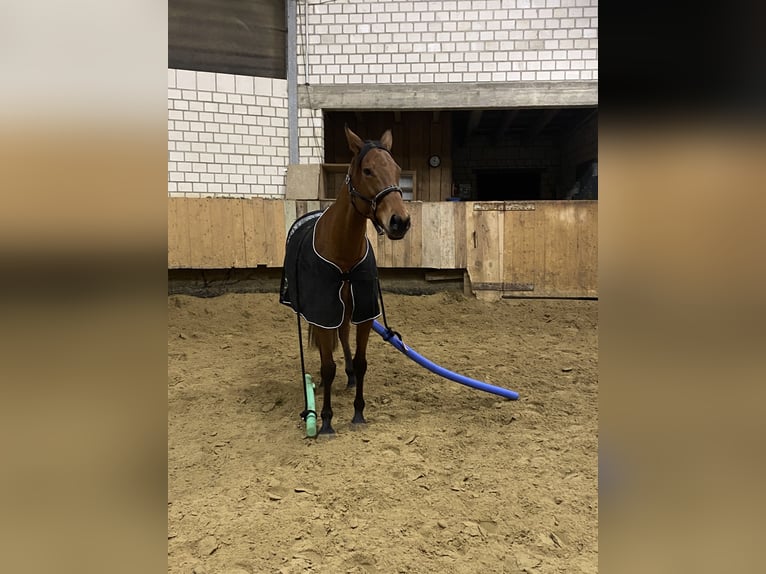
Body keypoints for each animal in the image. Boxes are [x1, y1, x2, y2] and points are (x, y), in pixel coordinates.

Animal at [308, 127, 414, 436]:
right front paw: (326, 420)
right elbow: (327, 365)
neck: (343, 254)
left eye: (397, 169)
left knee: (343, 336)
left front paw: (358, 412)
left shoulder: (364, 314)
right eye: (367, 170)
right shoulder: (323, 316)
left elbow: (361, 360)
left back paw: (351, 377)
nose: (400, 221)